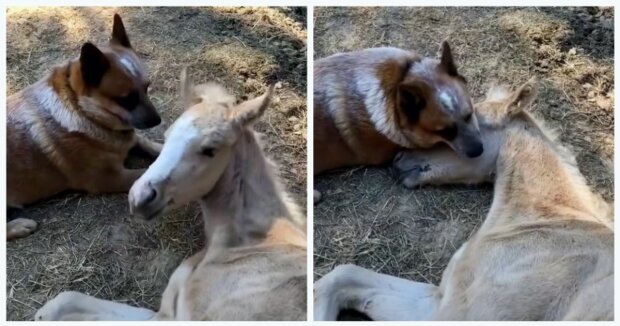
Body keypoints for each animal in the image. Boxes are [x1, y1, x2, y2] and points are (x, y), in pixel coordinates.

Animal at [6, 14, 161, 239]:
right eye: (127, 99)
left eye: (147, 87)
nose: (158, 120)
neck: (83, 111)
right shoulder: (109, 178)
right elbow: (145, 172)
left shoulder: (129, 138)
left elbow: (150, 144)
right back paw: (19, 225)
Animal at [35, 69, 306, 320]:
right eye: (166, 136)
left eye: (210, 149)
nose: (140, 198)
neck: (251, 241)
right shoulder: (165, 312)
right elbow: (65, 300)